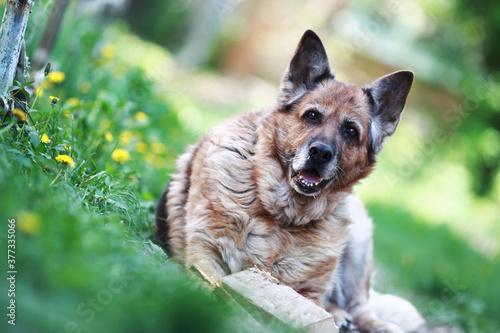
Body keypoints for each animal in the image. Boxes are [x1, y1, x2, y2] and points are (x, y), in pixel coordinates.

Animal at [154, 29, 424, 330]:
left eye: (351, 131)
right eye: (312, 115)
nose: (320, 153)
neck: (281, 215)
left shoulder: (308, 294)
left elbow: (313, 309)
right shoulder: (205, 259)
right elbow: (209, 288)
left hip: (360, 239)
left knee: (358, 305)